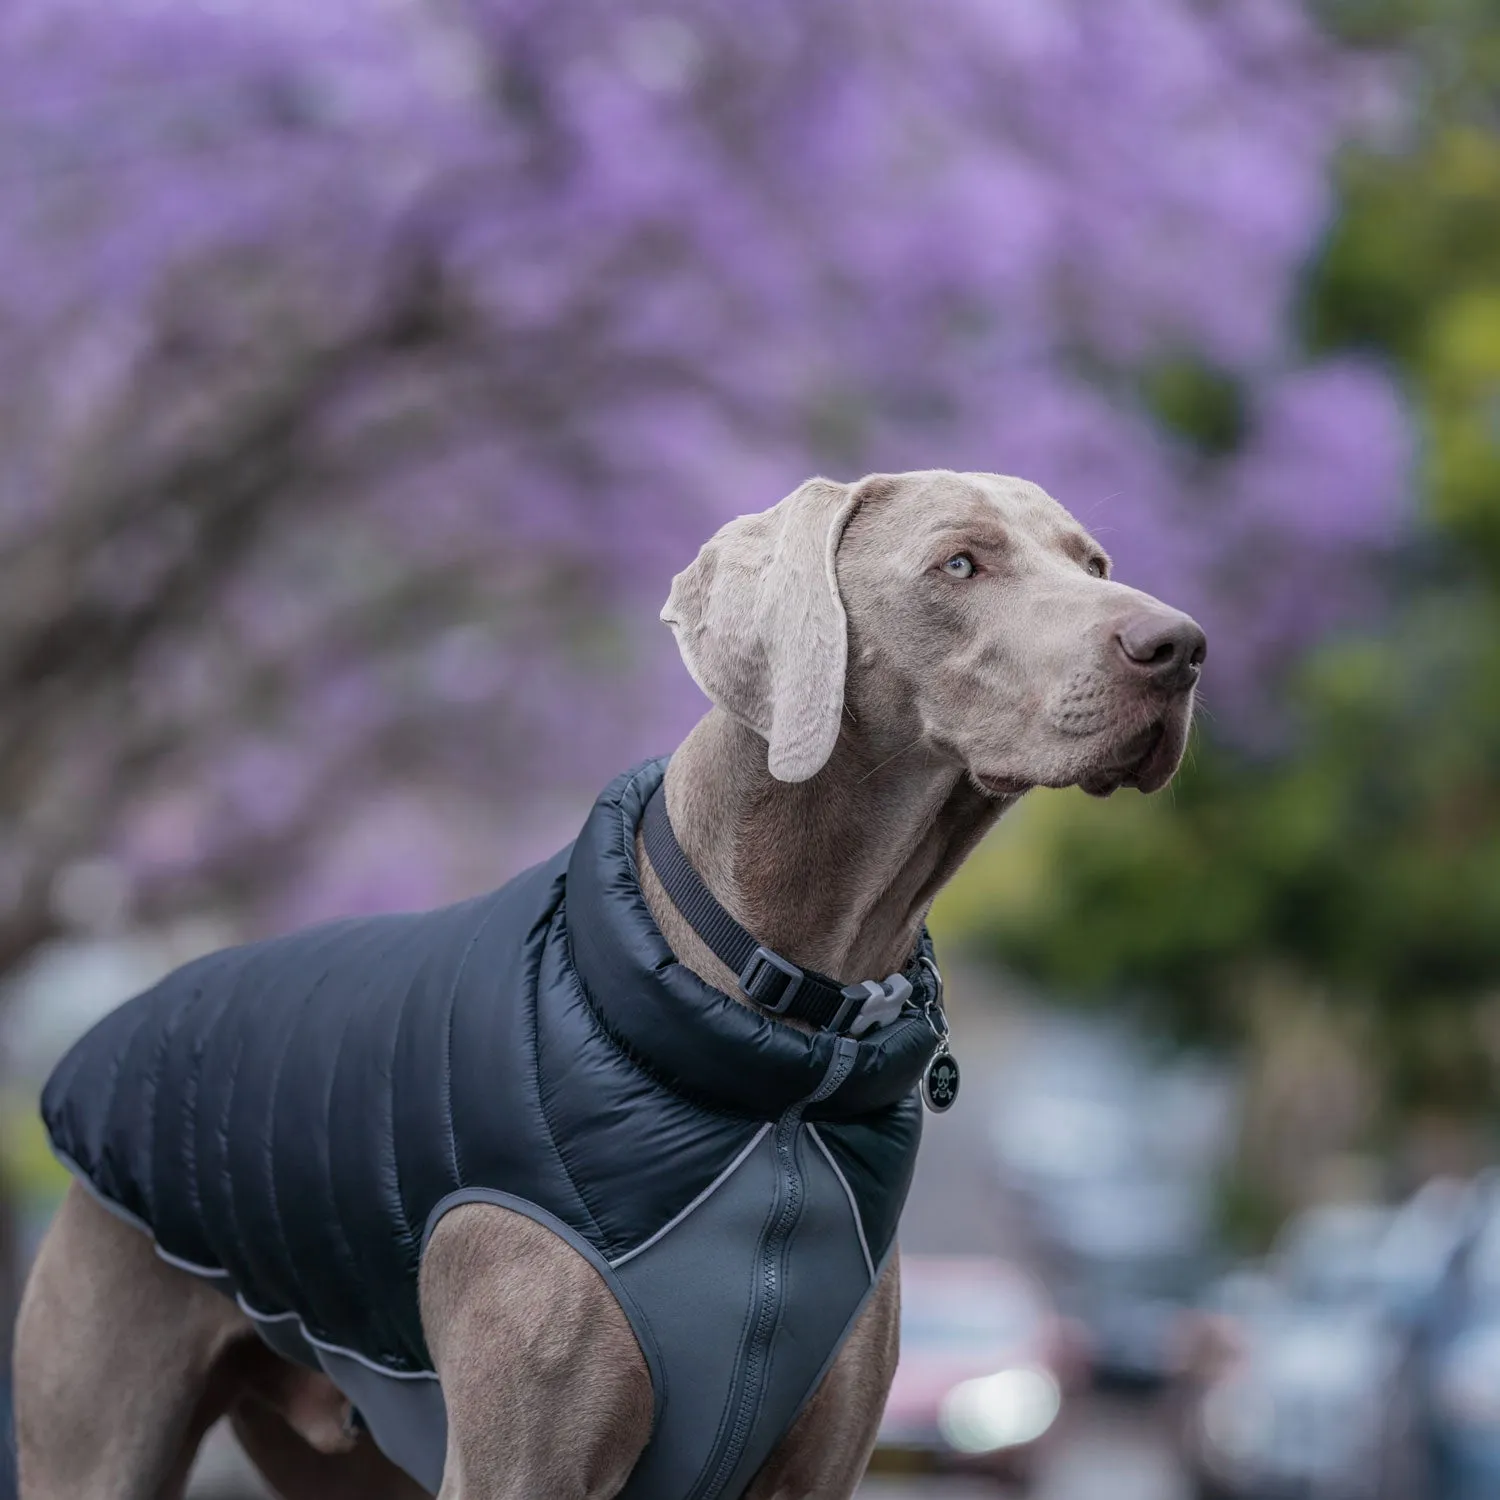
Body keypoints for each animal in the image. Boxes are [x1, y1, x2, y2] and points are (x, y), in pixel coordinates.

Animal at [14, 471, 1206, 1500]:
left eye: (1094, 560)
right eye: (960, 563)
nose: (1182, 647)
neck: (787, 1042)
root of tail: (129, 1019)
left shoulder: (818, 1467)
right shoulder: (520, 1464)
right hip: (102, 1410)